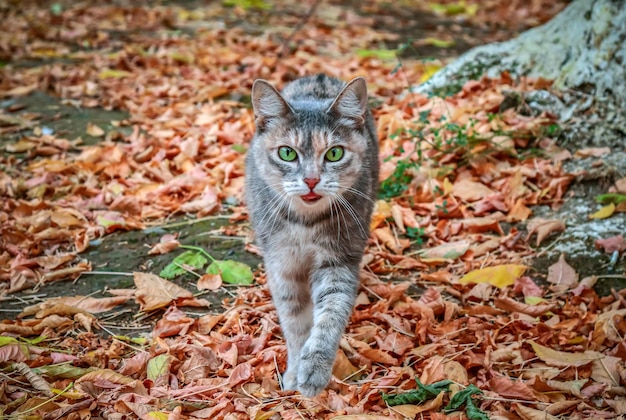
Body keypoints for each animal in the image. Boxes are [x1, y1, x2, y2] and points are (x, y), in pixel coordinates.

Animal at [244, 73, 378, 398]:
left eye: (334, 153)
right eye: (287, 153)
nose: (311, 180)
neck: (305, 223)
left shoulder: (338, 261)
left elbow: (330, 314)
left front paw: (314, 367)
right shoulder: (282, 266)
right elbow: (294, 323)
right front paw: (294, 371)